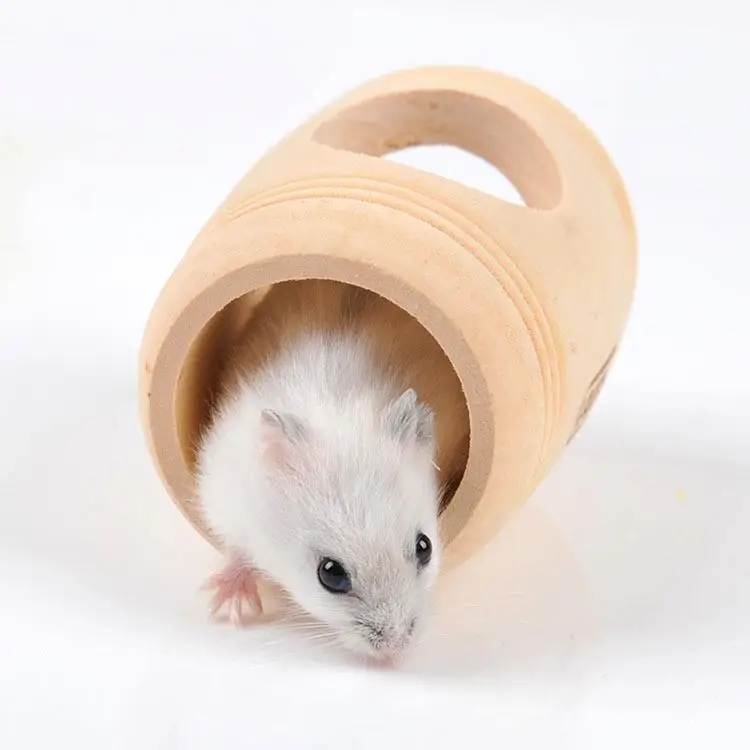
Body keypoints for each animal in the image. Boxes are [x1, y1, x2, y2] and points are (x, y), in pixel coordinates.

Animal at [195, 280, 469, 663]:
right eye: (330, 575)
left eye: (424, 547)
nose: (394, 653)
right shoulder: (223, 495)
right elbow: (237, 549)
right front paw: (228, 608)